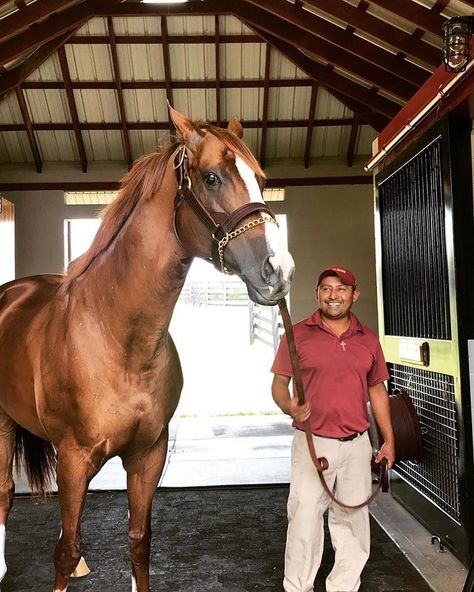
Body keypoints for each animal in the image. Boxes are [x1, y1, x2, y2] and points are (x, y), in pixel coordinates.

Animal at [0, 107, 292, 592]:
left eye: (260, 179)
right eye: (211, 178)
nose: (279, 271)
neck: (118, 338)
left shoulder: (147, 456)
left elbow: (138, 543)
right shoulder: (73, 460)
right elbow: (64, 551)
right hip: (3, 424)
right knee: (6, 492)